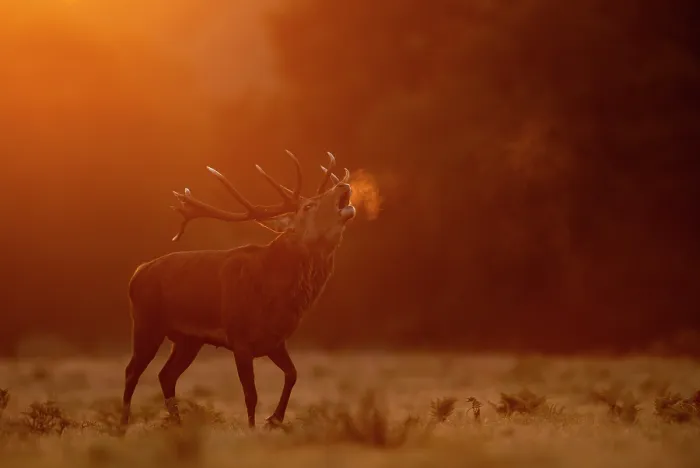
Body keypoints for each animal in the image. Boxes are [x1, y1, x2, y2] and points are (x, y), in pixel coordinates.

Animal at [120, 151, 356, 430]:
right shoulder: (239, 337)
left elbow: (293, 374)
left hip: (188, 340)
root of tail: (137, 274)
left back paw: (177, 424)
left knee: (166, 375)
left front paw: (274, 419)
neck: (275, 293)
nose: (342, 186)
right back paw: (122, 425)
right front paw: (253, 428)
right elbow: (250, 394)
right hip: (147, 323)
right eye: (308, 206)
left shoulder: (275, 340)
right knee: (132, 371)